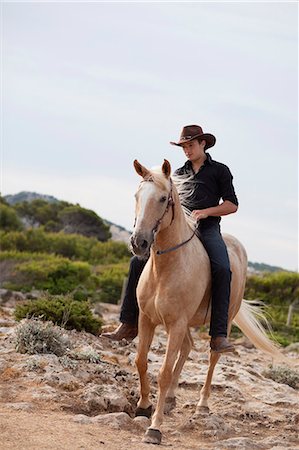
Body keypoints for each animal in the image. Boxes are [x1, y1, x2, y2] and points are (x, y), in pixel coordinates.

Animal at [131, 157, 282, 442]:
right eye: (137, 195)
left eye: (163, 198)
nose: (139, 243)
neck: (165, 267)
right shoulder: (148, 319)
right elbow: (141, 361)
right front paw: (144, 405)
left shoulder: (177, 324)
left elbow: (164, 372)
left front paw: (154, 427)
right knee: (188, 348)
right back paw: (171, 399)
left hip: (223, 322)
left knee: (213, 356)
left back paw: (201, 405)